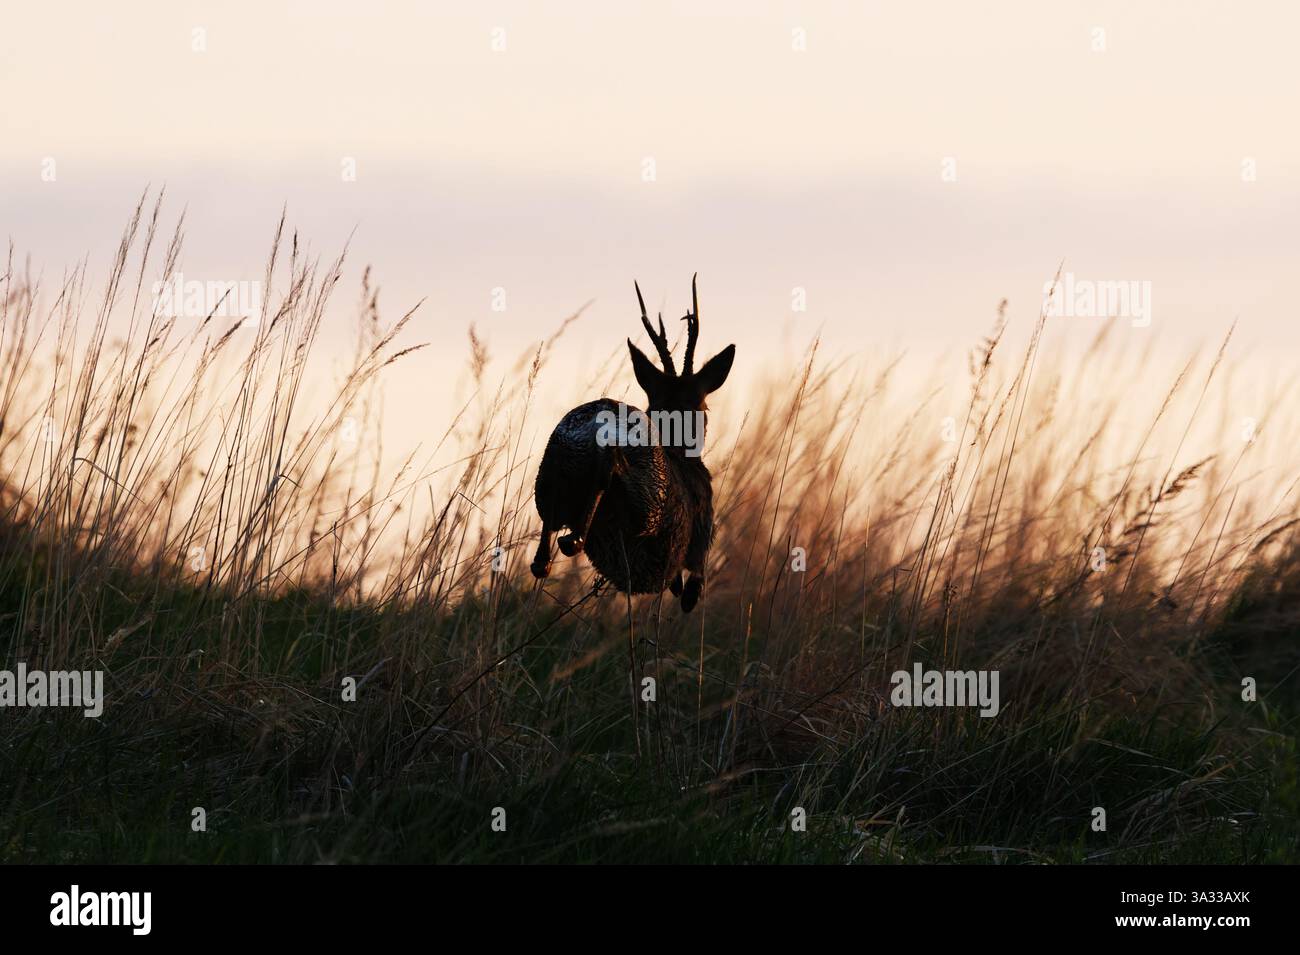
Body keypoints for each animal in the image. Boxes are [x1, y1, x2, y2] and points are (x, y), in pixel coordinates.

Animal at [530, 275, 735, 612]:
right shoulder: (702, 537)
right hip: (645, 501)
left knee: (543, 544)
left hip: (548, 471)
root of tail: (598, 417)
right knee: (609, 477)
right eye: (704, 407)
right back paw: (573, 539)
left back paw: (553, 551)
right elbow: (691, 588)